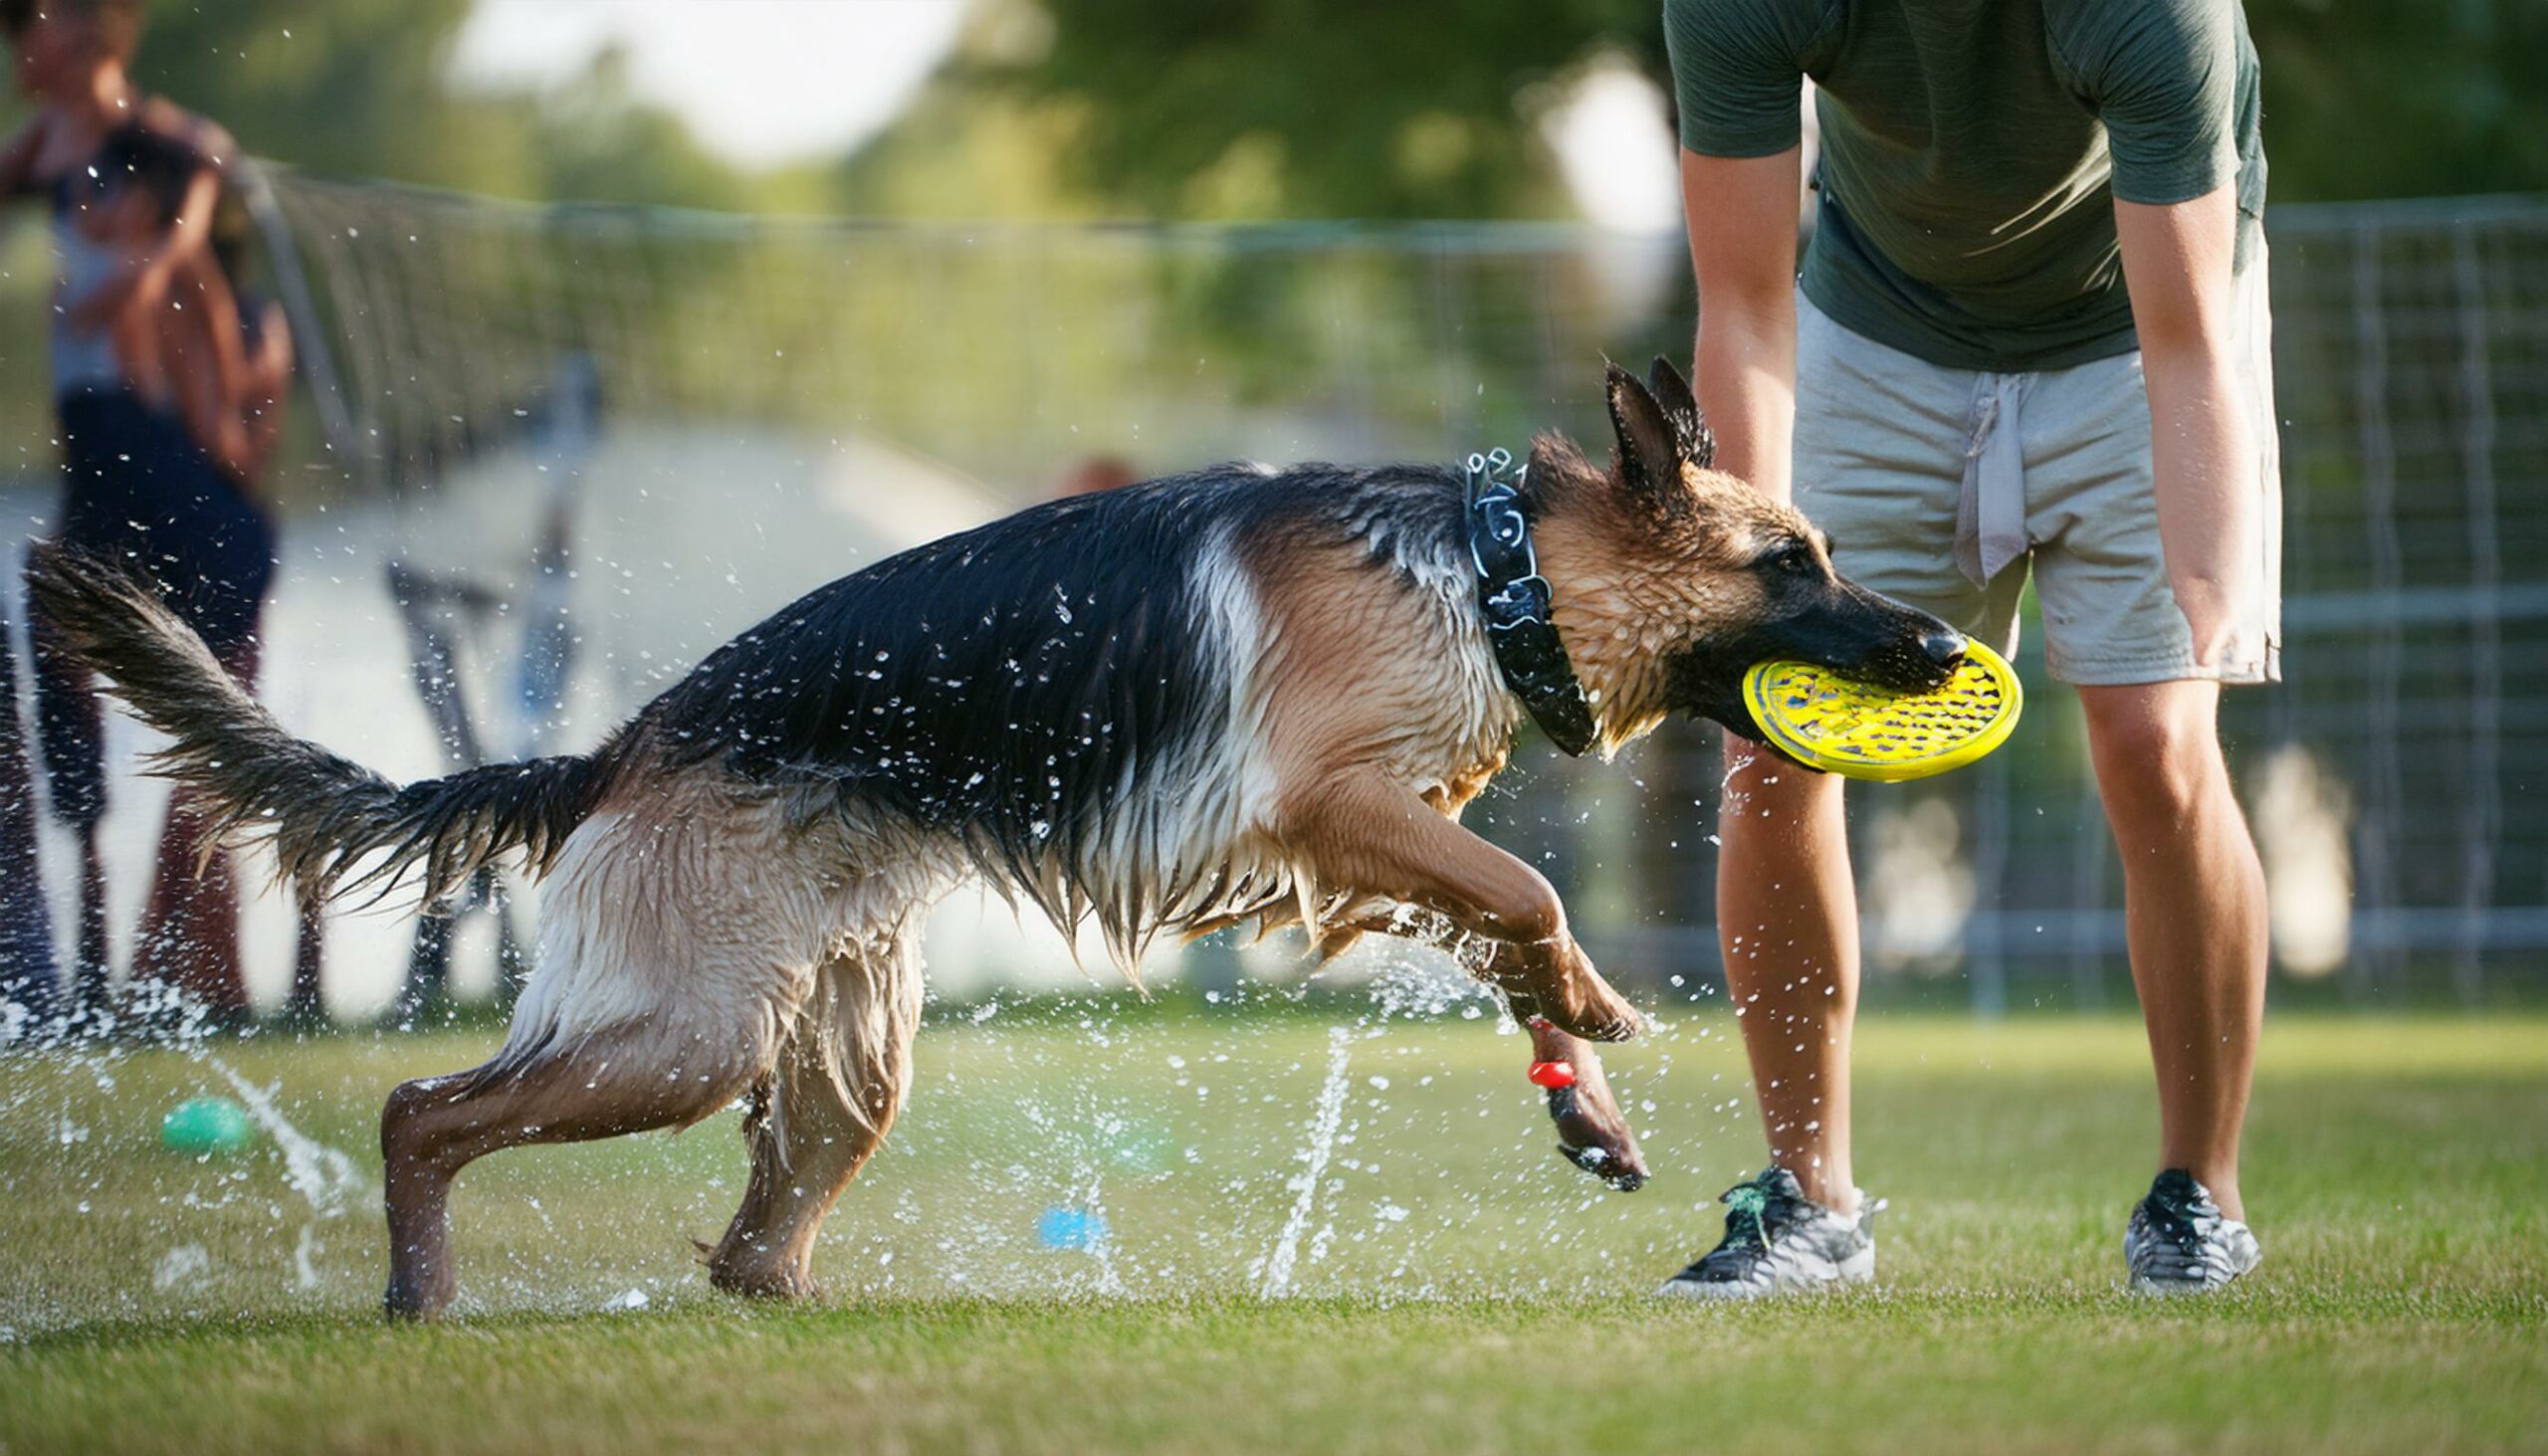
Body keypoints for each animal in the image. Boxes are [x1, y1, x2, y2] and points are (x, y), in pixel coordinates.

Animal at [20, 356, 1957, 1326]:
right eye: (1792, 562)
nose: (1945, 649)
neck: (1491, 566)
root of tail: (623, 746)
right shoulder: (1333, 807)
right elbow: (1532, 883)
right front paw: (1602, 1009)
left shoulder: (1379, 836)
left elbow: (1503, 919)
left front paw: (1586, 1089)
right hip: (681, 1032)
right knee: (423, 1108)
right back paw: (419, 1294)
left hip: (837, 1051)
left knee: (748, 1240)